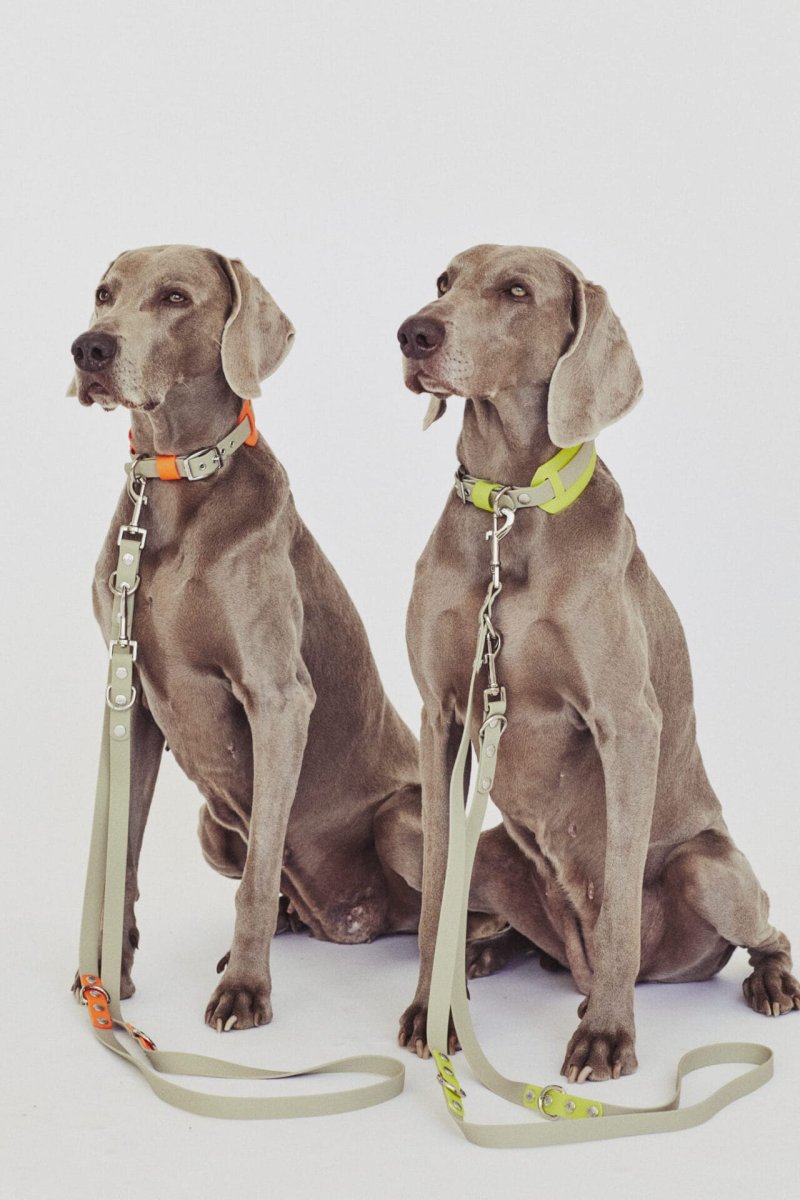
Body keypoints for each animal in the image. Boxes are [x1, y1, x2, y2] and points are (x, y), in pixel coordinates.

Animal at [396, 243, 799, 1081]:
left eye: (517, 291)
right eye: (444, 281)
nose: (413, 333)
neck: (509, 510)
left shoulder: (626, 723)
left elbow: (617, 905)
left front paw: (609, 1037)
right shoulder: (440, 716)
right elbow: (436, 896)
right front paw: (432, 1009)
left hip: (710, 870)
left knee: (764, 929)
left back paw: (767, 983)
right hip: (493, 853)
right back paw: (489, 953)